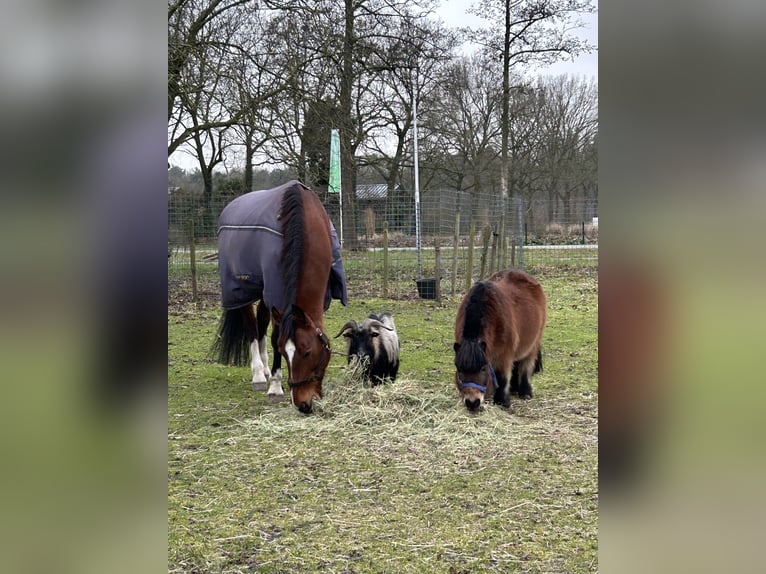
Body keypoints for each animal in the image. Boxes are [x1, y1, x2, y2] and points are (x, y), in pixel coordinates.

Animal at [210, 182, 348, 412]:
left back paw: (265, 370)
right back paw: (259, 374)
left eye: (307, 352)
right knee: (251, 327)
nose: (303, 404)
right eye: (284, 353)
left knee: (261, 322)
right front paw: (275, 387)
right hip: (242, 290)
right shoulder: (276, 293)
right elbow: (274, 337)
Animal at [452, 272, 548, 412]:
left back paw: (525, 391)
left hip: (533, 345)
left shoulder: (504, 357)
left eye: (483, 368)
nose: (472, 402)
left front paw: (502, 401)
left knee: (526, 365)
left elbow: (502, 378)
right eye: (459, 370)